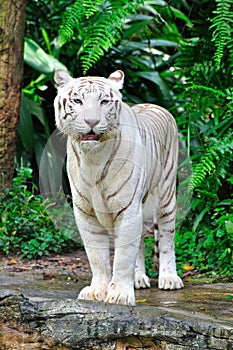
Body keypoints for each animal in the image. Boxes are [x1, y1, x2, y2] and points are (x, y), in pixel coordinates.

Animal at [53, 69, 183, 306]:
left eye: (104, 102)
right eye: (78, 101)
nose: (92, 121)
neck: (93, 157)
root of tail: (155, 105)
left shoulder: (127, 206)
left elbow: (123, 256)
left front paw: (120, 294)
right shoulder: (85, 212)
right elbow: (97, 257)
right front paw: (97, 291)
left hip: (166, 197)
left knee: (167, 239)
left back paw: (169, 279)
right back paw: (138, 278)